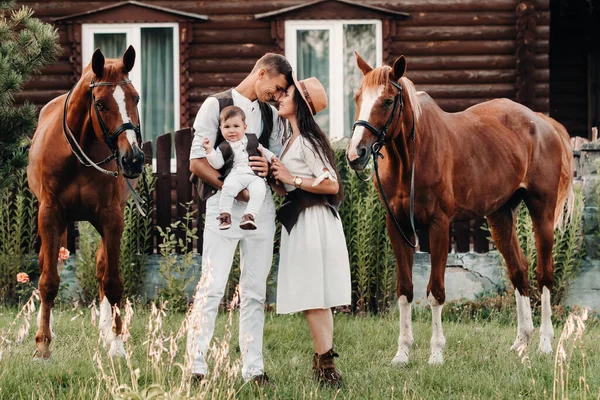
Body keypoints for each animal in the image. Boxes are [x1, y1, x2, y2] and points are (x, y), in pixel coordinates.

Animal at [27, 47, 144, 360]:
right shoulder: (50, 215)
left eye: (136, 98)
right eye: (100, 104)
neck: (76, 155)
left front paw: (117, 345)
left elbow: (112, 281)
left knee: (102, 268)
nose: (133, 159)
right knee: (48, 264)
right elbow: (48, 280)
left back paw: (106, 331)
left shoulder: (112, 218)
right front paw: (43, 345)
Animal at [350, 54, 576, 366]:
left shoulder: (439, 226)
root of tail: (542, 122)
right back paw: (521, 342)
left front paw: (436, 354)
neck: (411, 159)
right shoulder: (397, 226)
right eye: (358, 97)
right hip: (500, 216)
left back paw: (544, 343)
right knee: (519, 270)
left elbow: (435, 292)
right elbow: (405, 290)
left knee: (544, 274)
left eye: (386, 101)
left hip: (541, 211)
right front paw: (402, 353)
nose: (355, 154)